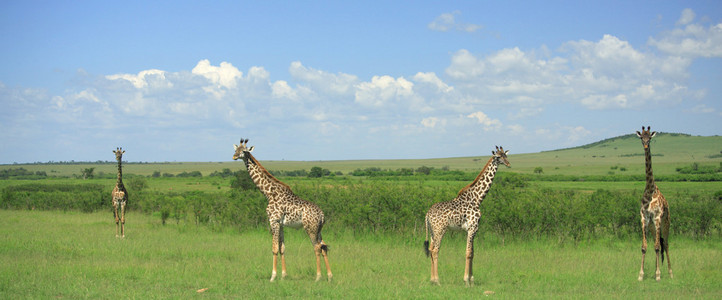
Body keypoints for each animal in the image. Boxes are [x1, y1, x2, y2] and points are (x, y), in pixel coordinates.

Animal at [231, 138, 332, 282]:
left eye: (244, 151)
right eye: (236, 149)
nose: (234, 156)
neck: (268, 193)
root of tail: (322, 215)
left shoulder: (273, 221)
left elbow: (274, 248)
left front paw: (273, 276)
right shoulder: (281, 224)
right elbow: (282, 248)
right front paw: (284, 275)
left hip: (310, 228)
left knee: (317, 248)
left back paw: (318, 277)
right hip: (319, 230)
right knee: (324, 248)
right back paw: (329, 276)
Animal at [422, 145, 512, 286]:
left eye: (506, 155)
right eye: (498, 157)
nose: (508, 164)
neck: (477, 198)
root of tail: (427, 214)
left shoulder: (474, 229)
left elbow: (473, 253)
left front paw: (472, 280)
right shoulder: (472, 228)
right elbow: (468, 253)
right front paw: (466, 281)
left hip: (432, 231)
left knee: (431, 249)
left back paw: (432, 280)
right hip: (440, 229)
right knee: (435, 250)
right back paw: (437, 280)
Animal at [632, 126, 672, 282]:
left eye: (649, 138)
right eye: (641, 138)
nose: (645, 145)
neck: (650, 190)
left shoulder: (657, 217)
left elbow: (657, 246)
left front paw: (658, 275)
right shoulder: (644, 219)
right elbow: (644, 247)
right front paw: (641, 275)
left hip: (665, 223)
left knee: (665, 244)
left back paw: (670, 273)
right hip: (653, 227)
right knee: (659, 244)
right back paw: (657, 270)